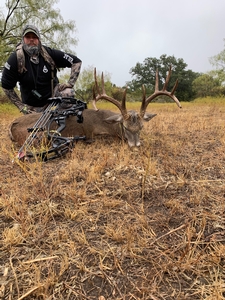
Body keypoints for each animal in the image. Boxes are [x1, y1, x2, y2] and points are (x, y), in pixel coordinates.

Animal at [8, 66, 182, 149]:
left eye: (141, 127)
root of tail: (12, 124)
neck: (108, 124)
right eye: (125, 127)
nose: (135, 145)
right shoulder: (95, 134)